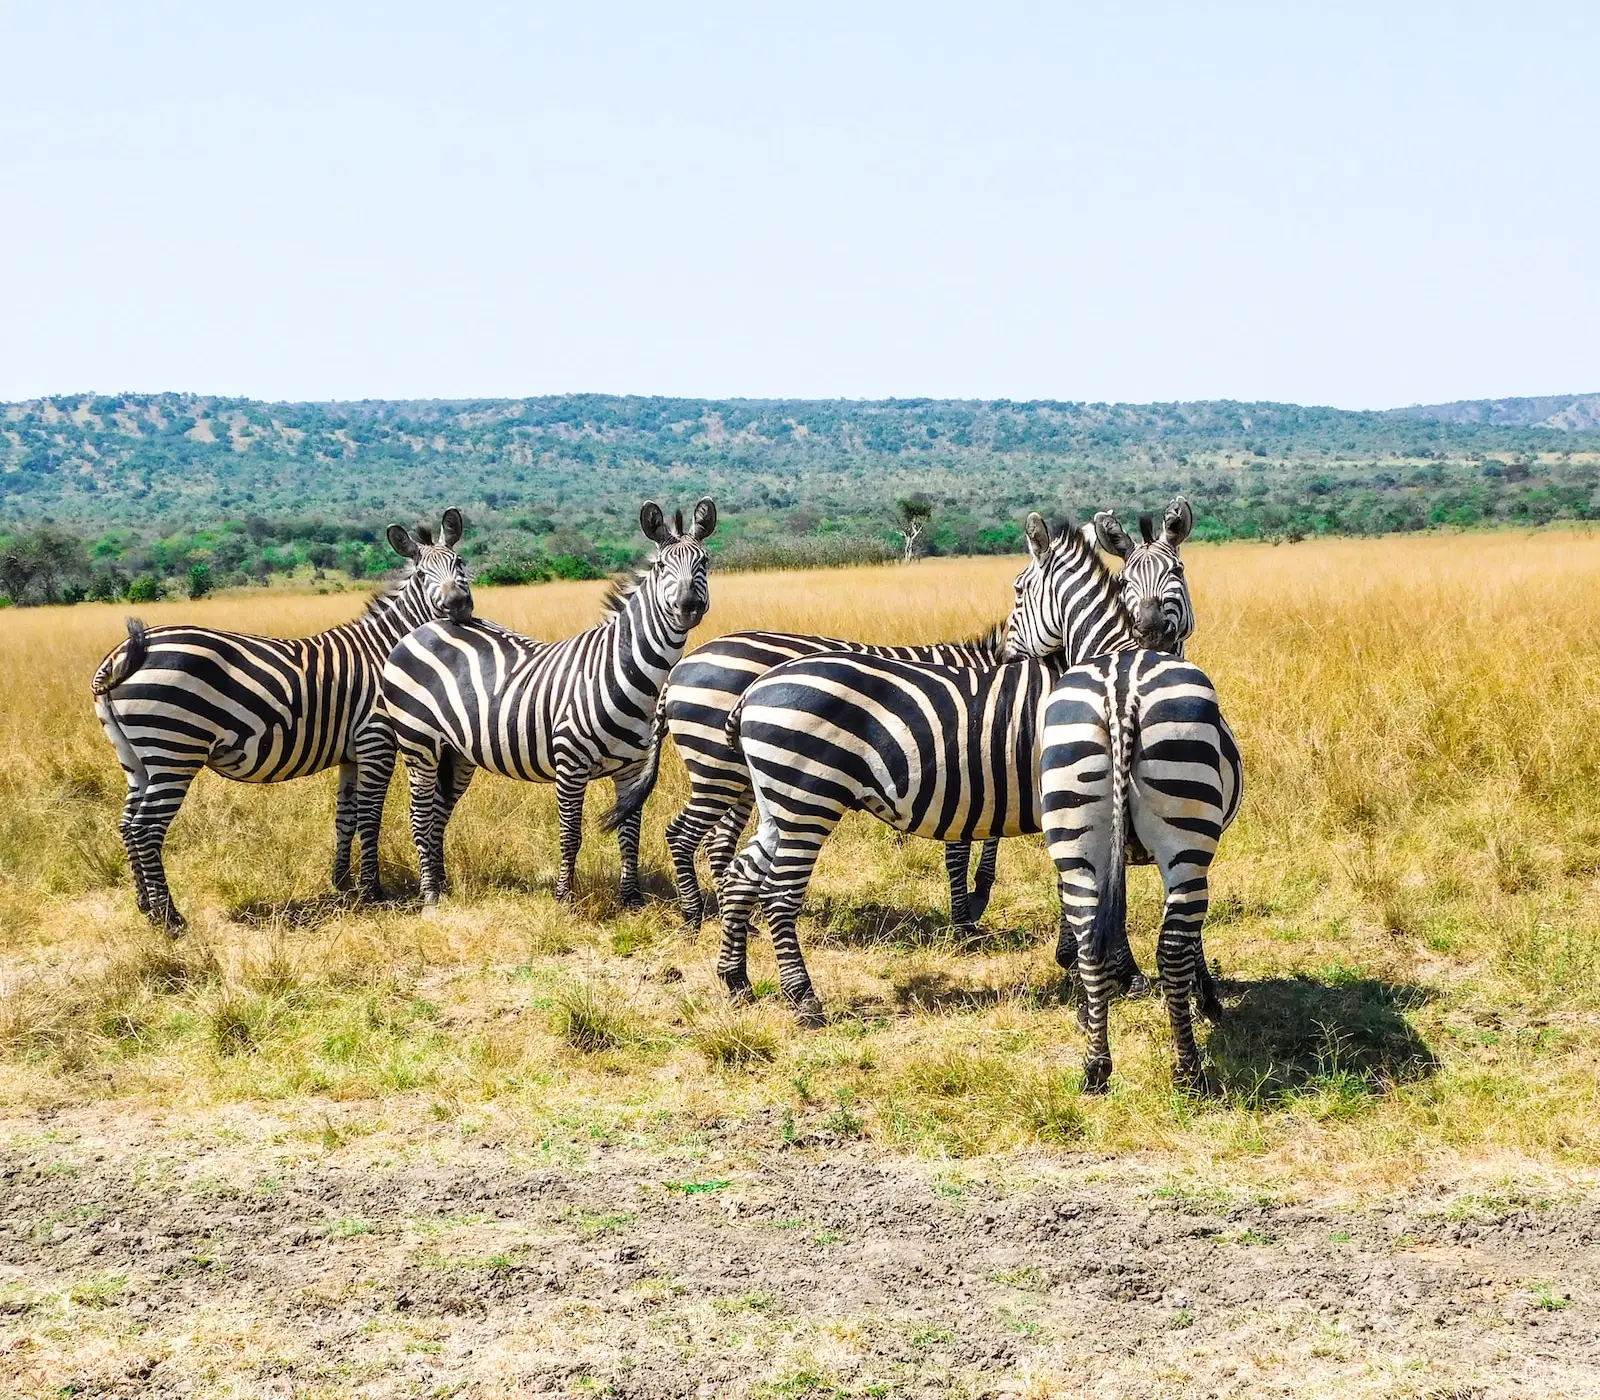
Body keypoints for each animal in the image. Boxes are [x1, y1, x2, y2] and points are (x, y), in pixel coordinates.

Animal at [90, 511, 473, 931]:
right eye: (422, 574)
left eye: (460, 563)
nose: (459, 605)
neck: (386, 651)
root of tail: (124, 653)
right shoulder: (377, 740)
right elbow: (370, 818)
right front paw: (373, 891)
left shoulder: (351, 754)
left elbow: (346, 817)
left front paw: (342, 883)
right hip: (174, 749)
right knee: (146, 828)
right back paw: (170, 920)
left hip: (137, 758)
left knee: (128, 824)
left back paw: (145, 907)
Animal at [378, 499, 716, 907]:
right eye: (662, 566)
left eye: (704, 561)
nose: (688, 606)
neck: (625, 671)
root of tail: (425, 627)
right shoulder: (570, 764)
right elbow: (571, 835)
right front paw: (564, 898)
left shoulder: (632, 769)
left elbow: (630, 833)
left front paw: (632, 898)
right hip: (419, 743)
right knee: (420, 815)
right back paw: (430, 895)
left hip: (456, 753)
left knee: (438, 814)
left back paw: (441, 885)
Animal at [610, 626, 1013, 935]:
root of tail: (680, 669)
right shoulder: (958, 769)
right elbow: (962, 849)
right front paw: (967, 916)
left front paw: (975, 899)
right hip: (717, 766)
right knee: (684, 834)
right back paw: (694, 916)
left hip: (742, 778)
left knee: (719, 841)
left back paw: (741, 920)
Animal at [712, 514, 1192, 1025]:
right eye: (1018, 588)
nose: (1005, 656)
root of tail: (756, 688)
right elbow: (1098, 886)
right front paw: (1122, 970)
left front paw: (1076, 958)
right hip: (807, 801)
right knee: (779, 895)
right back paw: (803, 1000)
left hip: (779, 805)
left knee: (741, 876)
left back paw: (735, 980)